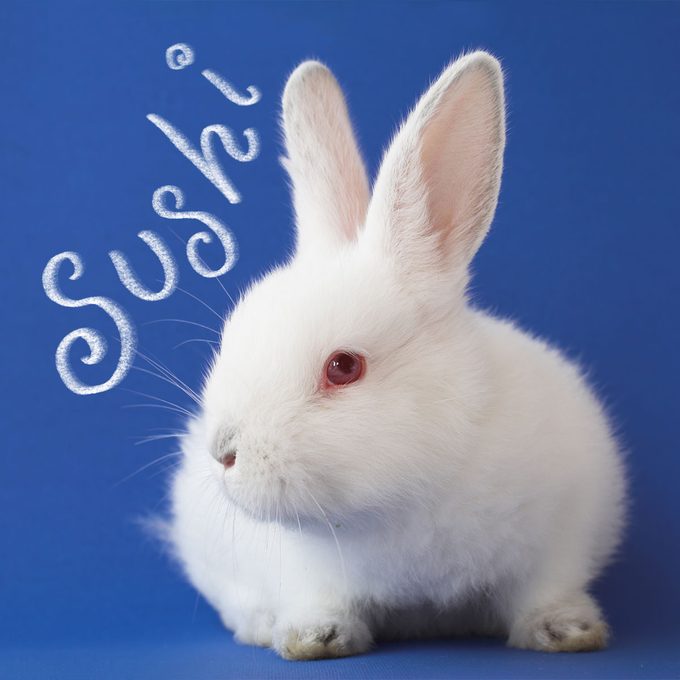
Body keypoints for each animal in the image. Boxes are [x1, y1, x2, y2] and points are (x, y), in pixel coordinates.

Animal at [169, 51, 627, 660]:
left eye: (343, 367)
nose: (223, 453)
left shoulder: (561, 536)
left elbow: (545, 590)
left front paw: (566, 632)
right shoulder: (306, 572)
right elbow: (318, 600)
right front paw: (314, 638)